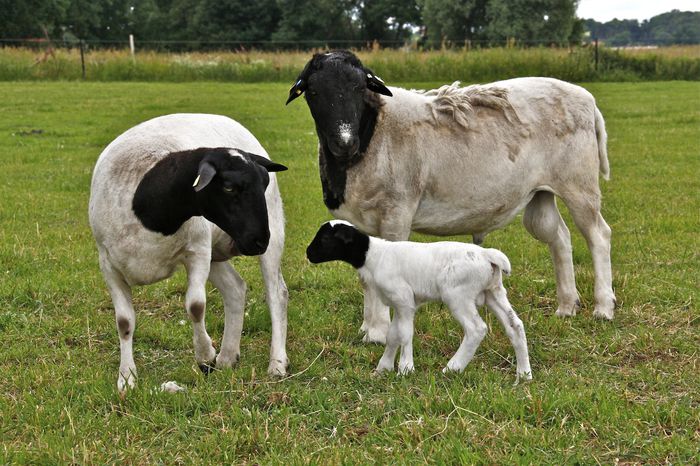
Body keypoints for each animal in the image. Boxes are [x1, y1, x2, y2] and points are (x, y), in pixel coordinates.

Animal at [88, 114, 290, 394]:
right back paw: (227, 357)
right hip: (216, 251)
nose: (259, 240)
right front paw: (126, 378)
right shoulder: (108, 265)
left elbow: (195, 306)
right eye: (228, 188)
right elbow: (124, 323)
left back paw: (277, 364)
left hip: (269, 232)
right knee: (235, 289)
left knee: (276, 293)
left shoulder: (197, 252)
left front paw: (205, 356)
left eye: (265, 183)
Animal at [288, 50, 616, 346]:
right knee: (558, 237)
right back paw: (567, 306)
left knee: (598, 235)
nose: (344, 142)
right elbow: (364, 274)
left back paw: (603, 307)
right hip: (542, 192)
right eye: (314, 92)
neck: (372, 134)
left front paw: (379, 332)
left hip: (579, 182)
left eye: (360, 88)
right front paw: (369, 329)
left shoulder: (396, 212)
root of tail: (587, 99)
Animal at [304, 220, 532, 380]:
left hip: (458, 295)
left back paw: (452, 368)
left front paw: (405, 368)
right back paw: (524, 374)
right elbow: (393, 335)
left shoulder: (404, 299)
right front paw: (383, 368)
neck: (374, 256)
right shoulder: (398, 304)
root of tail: (487, 256)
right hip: (493, 292)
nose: (308, 254)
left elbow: (405, 334)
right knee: (515, 325)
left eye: (324, 240)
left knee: (476, 329)